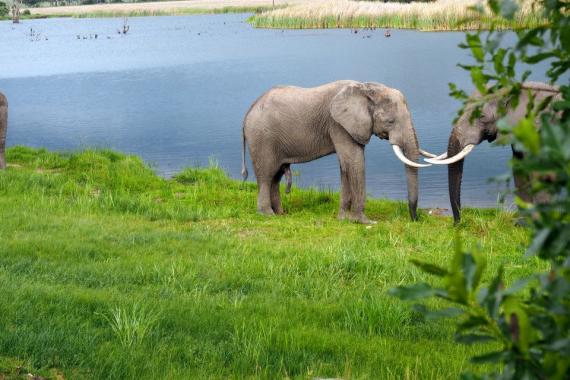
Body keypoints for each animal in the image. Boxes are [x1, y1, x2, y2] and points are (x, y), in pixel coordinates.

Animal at [237, 80, 432, 223]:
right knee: (266, 175)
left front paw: (343, 219)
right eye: (390, 122)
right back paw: (267, 215)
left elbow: (345, 165)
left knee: (275, 177)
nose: (415, 219)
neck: (365, 88)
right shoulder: (338, 124)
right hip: (262, 138)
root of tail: (248, 112)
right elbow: (355, 162)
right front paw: (364, 222)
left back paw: (280, 214)